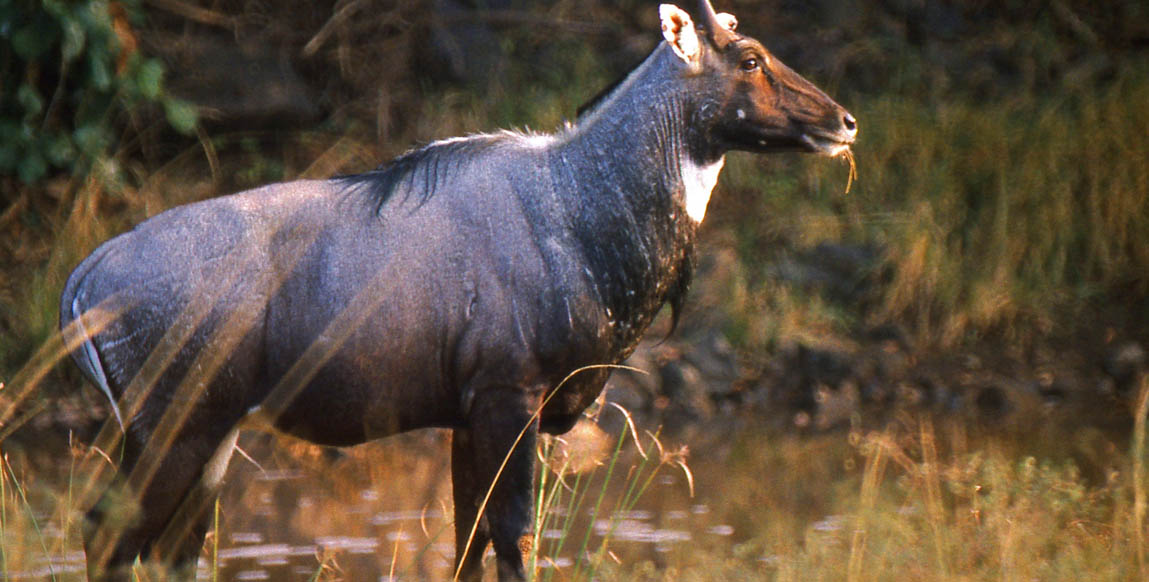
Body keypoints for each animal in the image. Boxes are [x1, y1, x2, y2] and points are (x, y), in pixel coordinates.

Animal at [60, 2, 854, 580]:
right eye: (748, 58)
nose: (844, 122)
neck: (578, 204)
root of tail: (84, 276)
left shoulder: (468, 413)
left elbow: (469, 541)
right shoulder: (509, 395)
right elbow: (514, 538)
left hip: (207, 432)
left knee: (168, 548)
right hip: (173, 425)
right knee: (108, 535)